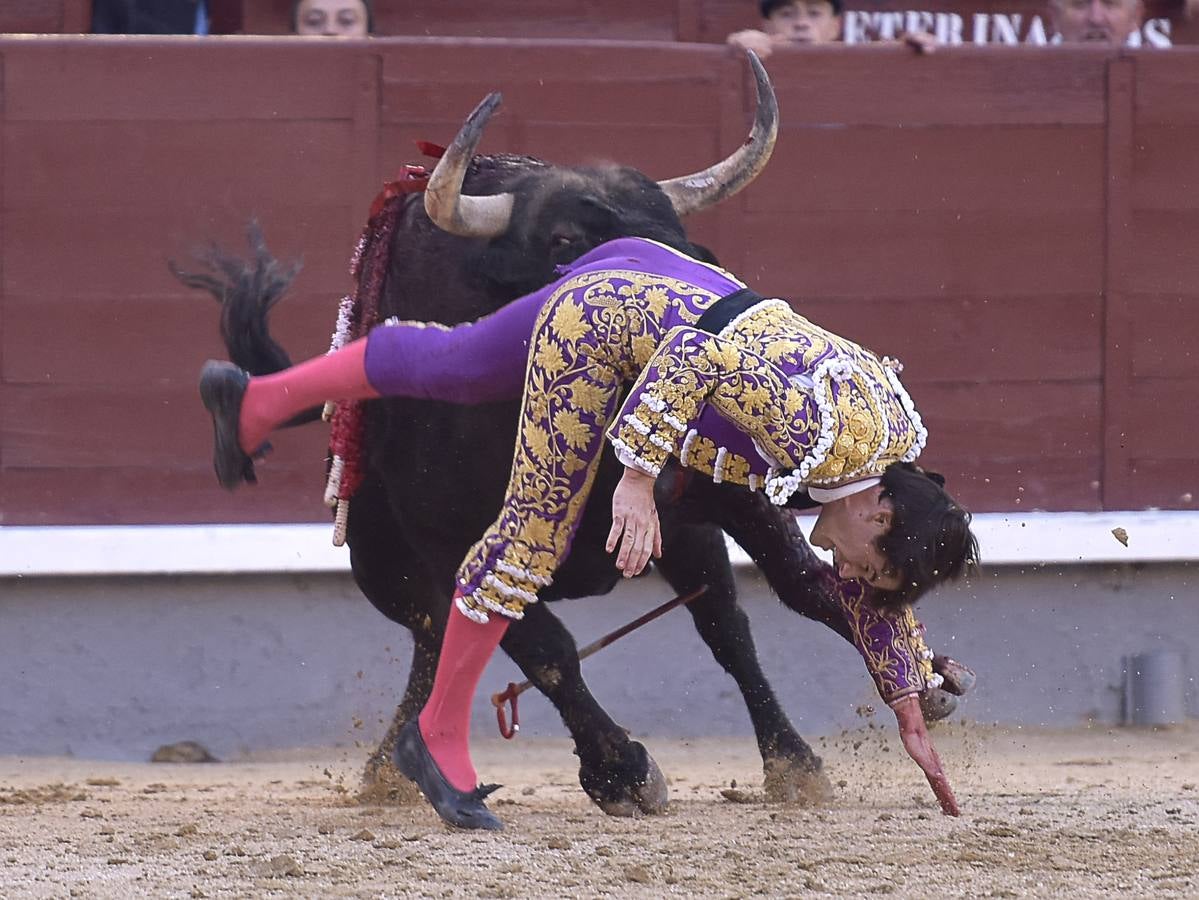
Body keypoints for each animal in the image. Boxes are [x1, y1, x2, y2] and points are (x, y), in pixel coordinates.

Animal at [182, 139, 959, 814]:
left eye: (679, 228)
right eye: (560, 239)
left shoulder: (719, 499)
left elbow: (787, 591)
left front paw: (883, 700)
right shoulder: (452, 537)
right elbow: (545, 646)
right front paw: (622, 773)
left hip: (680, 536)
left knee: (715, 623)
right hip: (387, 571)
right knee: (441, 629)